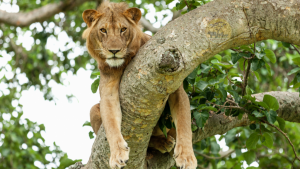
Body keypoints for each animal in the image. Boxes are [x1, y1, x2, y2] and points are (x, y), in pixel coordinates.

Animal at [82, 1, 197, 169]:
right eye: (103, 30)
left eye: (123, 29)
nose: (114, 51)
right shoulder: (108, 90)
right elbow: (111, 124)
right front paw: (117, 154)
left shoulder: (176, 88)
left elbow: (184, 123)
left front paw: (186, 156)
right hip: (92, 110)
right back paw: (162, 143)